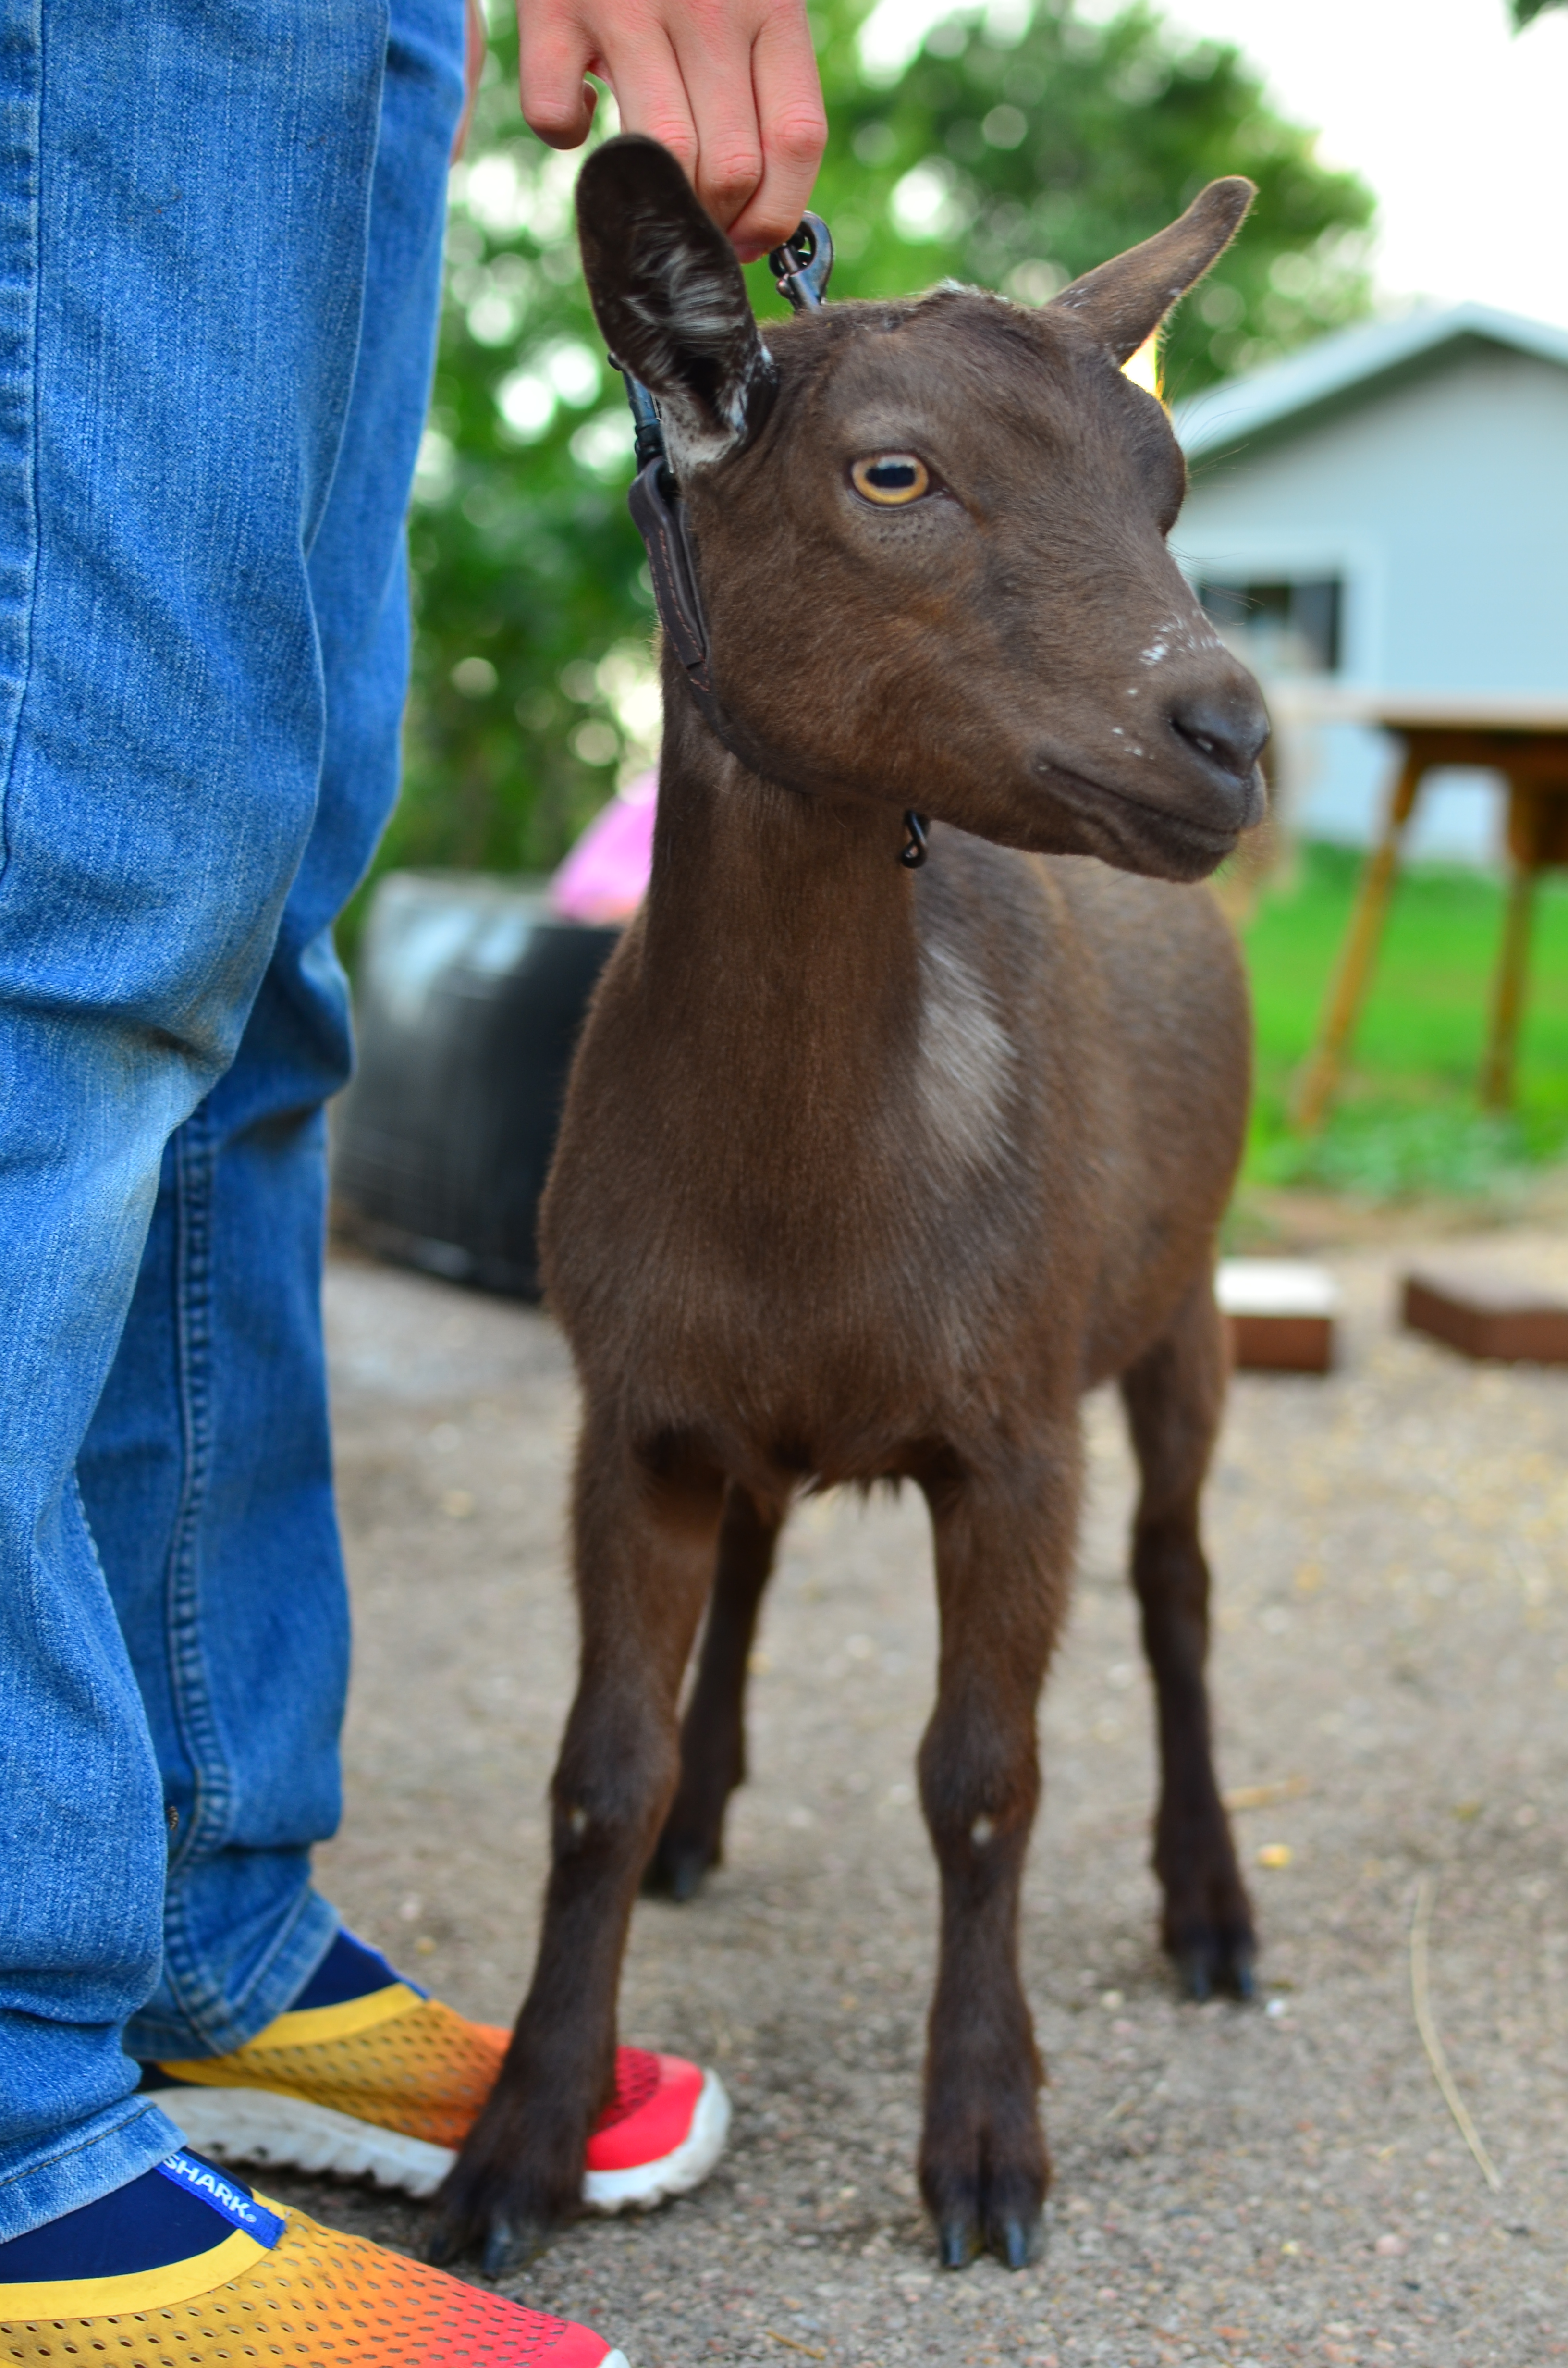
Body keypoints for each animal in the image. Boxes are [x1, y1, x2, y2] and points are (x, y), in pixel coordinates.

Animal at [430, 132, 1270, 2280]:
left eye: (1169, 487)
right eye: (892, 471)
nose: (1228, 732)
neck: (804, 1191)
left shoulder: (1014, 1424)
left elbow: (981, 1776)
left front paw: (982, 2147)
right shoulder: (631, 1412)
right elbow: (595, 1773)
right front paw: (518, 2147)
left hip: (1182, 1300)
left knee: (1177, 1584)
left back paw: (1213, 1903)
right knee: (757, 1567)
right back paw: (712, 1814)